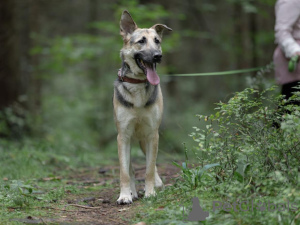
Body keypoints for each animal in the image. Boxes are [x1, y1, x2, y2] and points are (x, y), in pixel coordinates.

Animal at [112, 10, 172, 204]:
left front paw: (151, 192)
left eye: (157, 41)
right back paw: (132, 192)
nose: (157, 56)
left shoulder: (152, 135)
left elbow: (149, 169)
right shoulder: (123, 136)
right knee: (130, 169)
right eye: (141, 41)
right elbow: (125, 172)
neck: (138, 83)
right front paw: (125, 195)